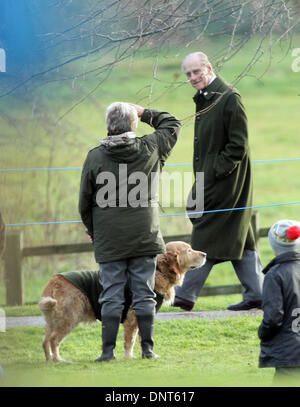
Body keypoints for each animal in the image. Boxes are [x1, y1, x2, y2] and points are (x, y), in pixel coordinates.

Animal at [38, 241, 205, 362]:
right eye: (189, 250)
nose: (205, 254)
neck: (159, 271)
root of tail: (55, 279)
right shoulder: (132, 317)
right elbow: (130, 341)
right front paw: (129, 357)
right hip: (70, 318)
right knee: (53, 340)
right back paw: (58, 359)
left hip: (54, 321)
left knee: (45, 341)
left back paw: (49, 360)